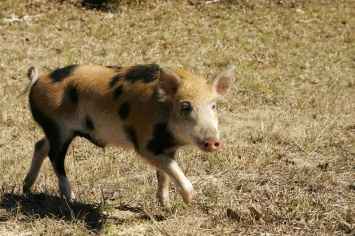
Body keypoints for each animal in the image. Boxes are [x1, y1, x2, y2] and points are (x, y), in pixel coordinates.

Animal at [20, 63, 235, 206]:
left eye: (213, 106)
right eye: (185, 106)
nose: (212, 141)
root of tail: (38, 81)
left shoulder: (168, 146)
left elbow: (164, 172)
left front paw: (165, 205)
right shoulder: (144, 142)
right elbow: (171, 167)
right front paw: (189, 200)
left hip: (54, 129)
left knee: (40, 145)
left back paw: (26, 189)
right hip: (59, 128)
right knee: (55, 158)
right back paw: (71, 199)